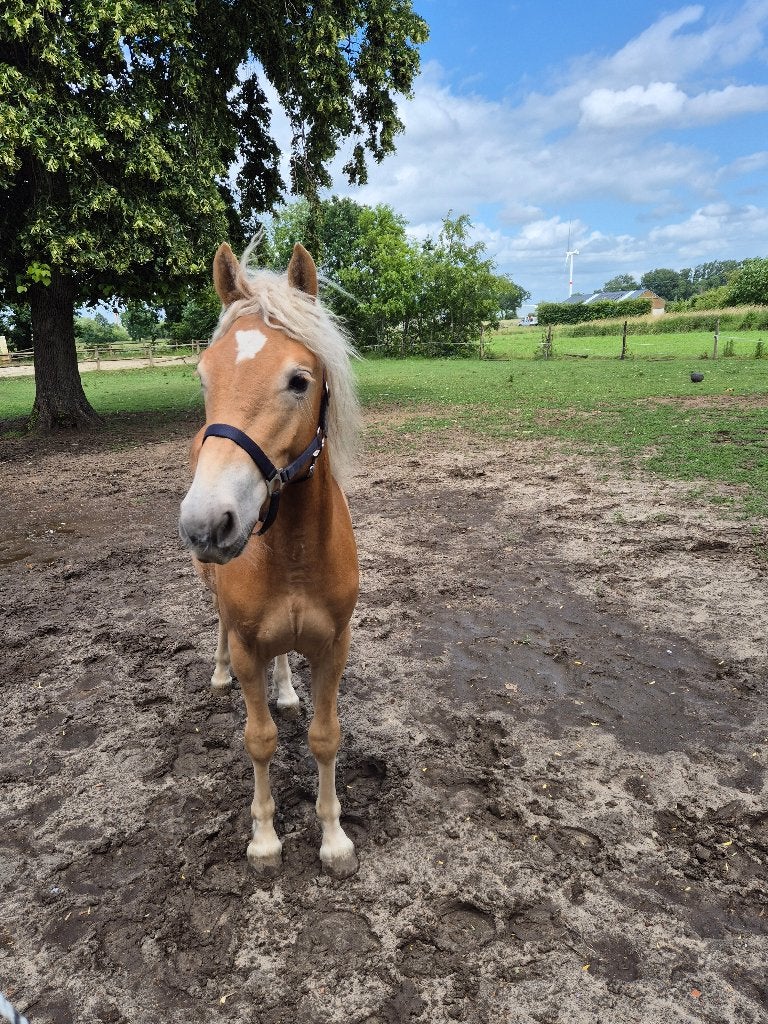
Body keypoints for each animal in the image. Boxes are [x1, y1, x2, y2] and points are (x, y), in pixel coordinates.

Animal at [178, 241, 360, 878]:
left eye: (299, 380)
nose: (207, 523)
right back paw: (216, 674)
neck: (295, 555)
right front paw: (264, 840)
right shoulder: (248, 648)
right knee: (217, 622)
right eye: (203, 376)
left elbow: (326, 736)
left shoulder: (334, 647)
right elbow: (258, 740)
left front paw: (334, 839)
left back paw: (285, 691)